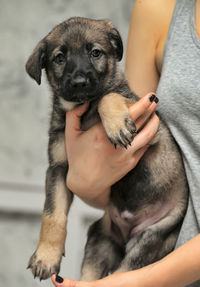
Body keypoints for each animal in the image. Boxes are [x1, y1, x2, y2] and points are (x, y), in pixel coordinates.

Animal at [25, 17, 188, 282]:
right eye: (59, 58)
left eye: (95, 53)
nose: (79, 82)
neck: (83, 112)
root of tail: (126, 232)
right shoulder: (59, 170)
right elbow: (52, 214)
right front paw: (46, 256)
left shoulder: (149, 124)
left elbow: (106, 96)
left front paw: (116, 124)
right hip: (100, 238)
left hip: (151, 238)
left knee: (126, 272)